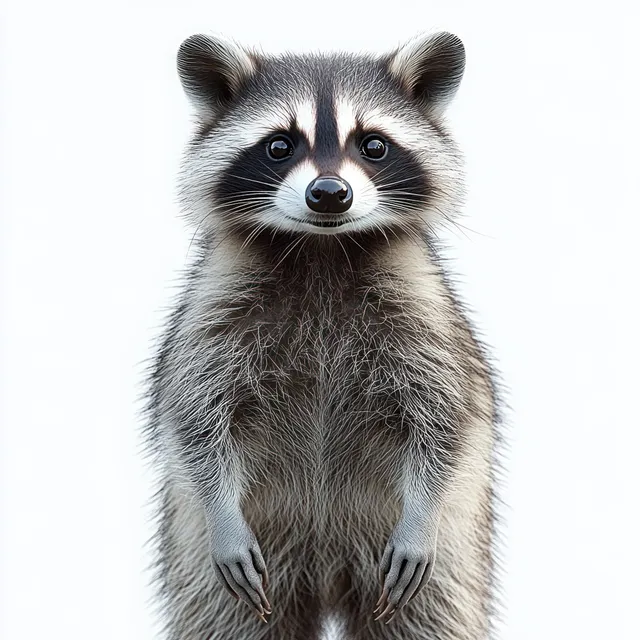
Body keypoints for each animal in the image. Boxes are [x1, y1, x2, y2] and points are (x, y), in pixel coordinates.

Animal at [146, 31, 501, 640]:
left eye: (374, 145)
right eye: (279, 146)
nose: (330, 193)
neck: (321, 247)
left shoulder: (424, 308)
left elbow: (448, 414)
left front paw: (421, 512)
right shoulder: (213, 306)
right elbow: (192, 414)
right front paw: (222, 510)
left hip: (451, 557)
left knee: (432, 615)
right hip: (210, 561)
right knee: (226, 619)